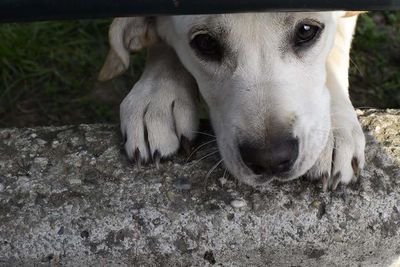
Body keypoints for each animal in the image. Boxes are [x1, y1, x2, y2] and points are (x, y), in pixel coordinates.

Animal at [99, 11, 366, 191]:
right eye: (205, 43)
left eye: (306, 30)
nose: (270, 159)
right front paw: (156, 96)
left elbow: (335, 46)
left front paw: (335, 128)